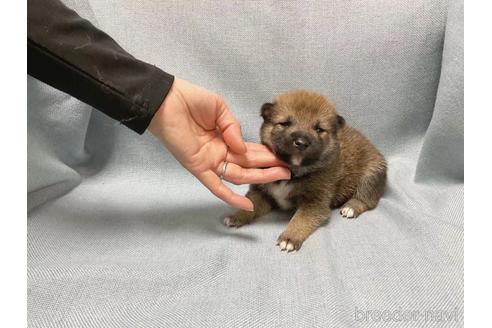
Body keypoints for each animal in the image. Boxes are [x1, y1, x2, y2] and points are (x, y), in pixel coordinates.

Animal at [224, 89, 388, 251]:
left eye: (319, 129)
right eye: (285, 123)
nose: (301, 142)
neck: (293, 171)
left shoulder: (315, 203)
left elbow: (300, 220)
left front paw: (289, 238)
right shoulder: (261, 192)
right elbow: (250, 204)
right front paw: (236, 216)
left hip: (371, 175)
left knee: (367, 199)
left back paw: (350, 207)